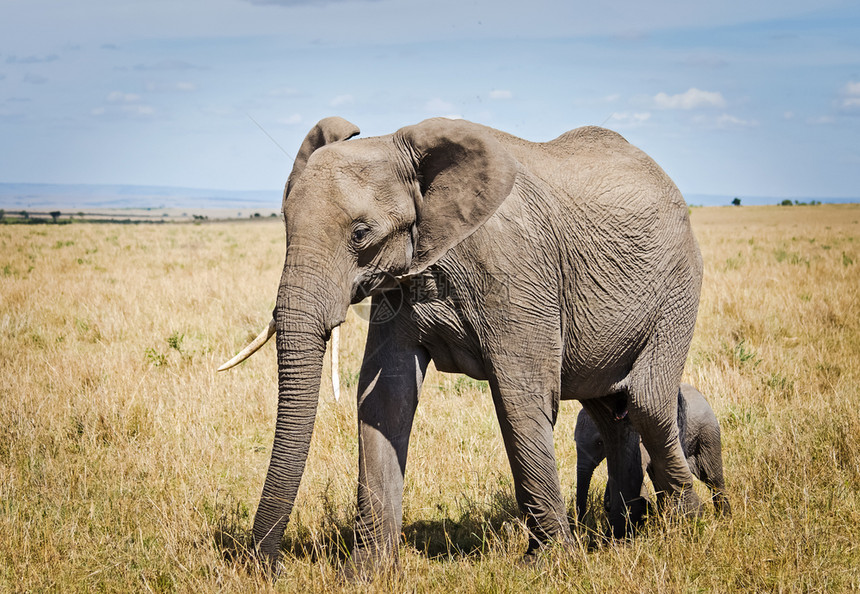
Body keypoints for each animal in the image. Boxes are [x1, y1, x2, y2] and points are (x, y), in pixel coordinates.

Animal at [222, 115, 704, 572]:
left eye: (360, 233)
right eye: (285, 224)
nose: (269, 566)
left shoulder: (516, 270)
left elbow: (521, 400)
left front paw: (549, 565)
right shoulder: (400, 285)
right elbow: (385, 399)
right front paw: (365, 574)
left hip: (679, 283)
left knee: (645, 401)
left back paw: (688, 523)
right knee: (610, 410)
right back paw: (623, 533)